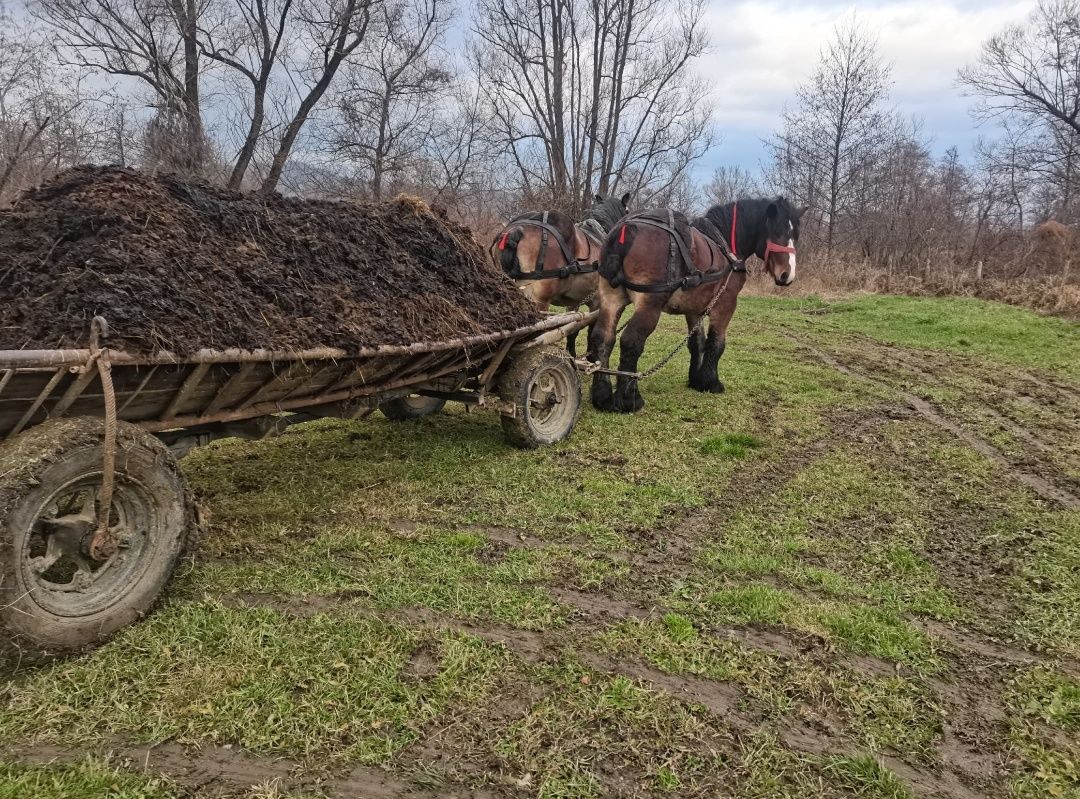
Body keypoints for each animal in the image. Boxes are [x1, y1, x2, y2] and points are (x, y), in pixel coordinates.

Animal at [492, 192, 630, 354]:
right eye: (627, 211)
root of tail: (516, 230)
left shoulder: (574, 301)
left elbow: (573, 328)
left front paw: (571, 353)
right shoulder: (599, 303)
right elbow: (591, 333)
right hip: (538, 302)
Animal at [587, 198, 807, 412]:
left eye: (796, 235)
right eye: (778, 232)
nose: (787, 275)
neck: (725, 247)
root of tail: (625, 231)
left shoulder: (694, 309)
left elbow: (697, 342)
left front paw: (696, 380)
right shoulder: (726, 304)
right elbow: (716, 343)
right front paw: (711, 382)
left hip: (611, 299)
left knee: (602, 338)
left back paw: (602, 397)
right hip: (648, 304)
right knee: (631, 341)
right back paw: (629, 400)